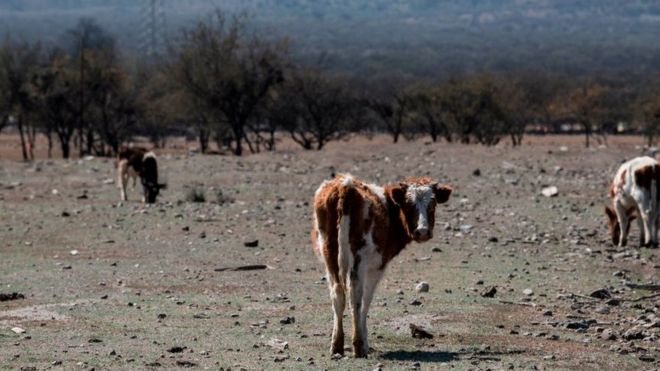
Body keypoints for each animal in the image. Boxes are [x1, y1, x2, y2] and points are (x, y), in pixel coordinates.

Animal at [312, 174, 452, 358]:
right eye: (408, 203)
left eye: (433, 203)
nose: (422, 232)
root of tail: (345, 185)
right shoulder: (377, 267)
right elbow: (366, 301)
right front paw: (364, 342)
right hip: (358, 259)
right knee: (355, 295)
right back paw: (358, 345)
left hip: (329, 254)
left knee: (337, 294)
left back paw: (337, 345)